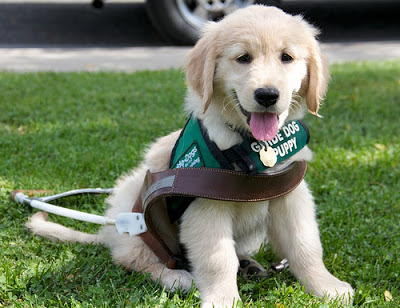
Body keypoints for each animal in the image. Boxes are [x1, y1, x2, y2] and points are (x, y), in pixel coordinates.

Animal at [27, 5, 354, 308]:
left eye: (286, 57)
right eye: (243, 58)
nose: (267, 95)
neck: (251, 146)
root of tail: (110, 230)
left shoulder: (290, 195)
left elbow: (305, 245)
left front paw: (326, 286)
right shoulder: (205, 208)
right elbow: (217, 259)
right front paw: (222, 299)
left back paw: (247, 263)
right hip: (136, 209)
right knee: (132, 257)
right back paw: (177, 278)